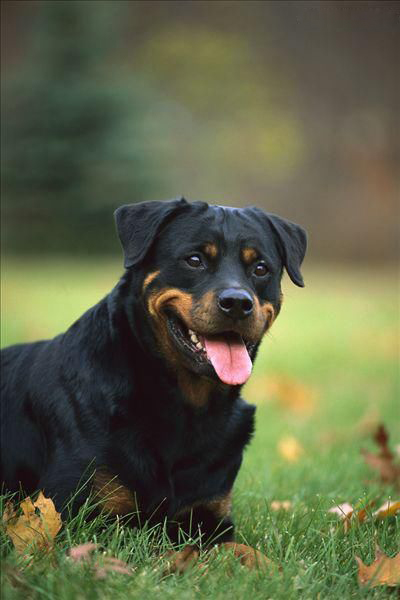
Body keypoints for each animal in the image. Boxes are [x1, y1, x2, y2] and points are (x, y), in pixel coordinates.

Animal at [0, 198, 306, 564]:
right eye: (194, 260)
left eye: (260, 268)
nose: (237, 303)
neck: (186, 408)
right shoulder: (70, 518)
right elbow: (168, 551)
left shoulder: (211, 517)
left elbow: (247, 552)